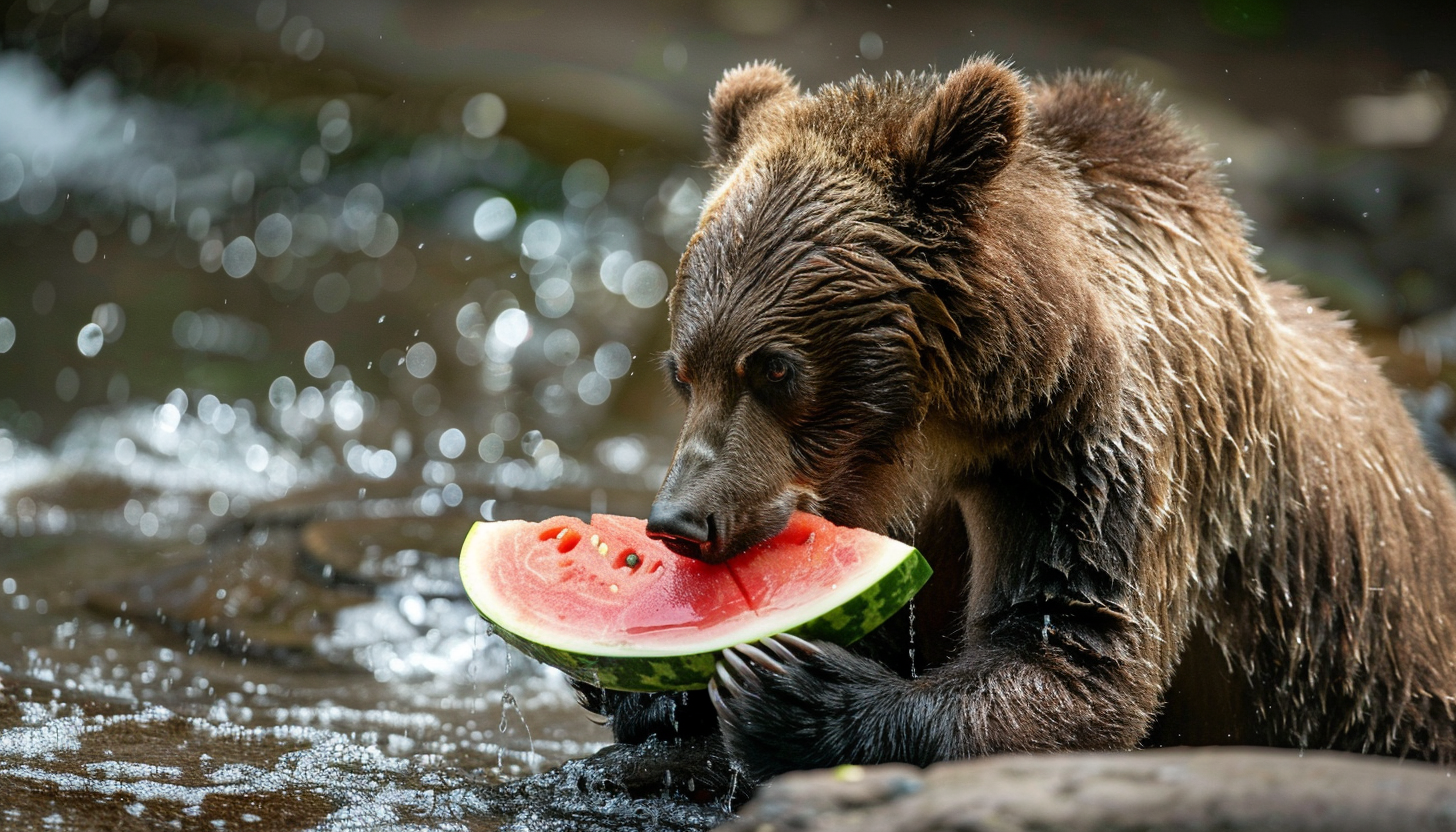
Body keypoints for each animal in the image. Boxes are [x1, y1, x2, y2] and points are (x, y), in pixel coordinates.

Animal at [594, 56, 1456, 786]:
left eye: (775, 367)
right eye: (682, 372)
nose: (681, 520)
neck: (931, 435)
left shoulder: (1087, 450)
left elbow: (1072, 648)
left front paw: (793, 690)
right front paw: (650, 689)